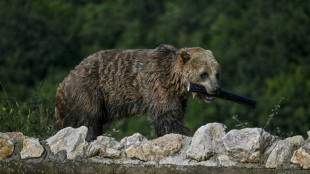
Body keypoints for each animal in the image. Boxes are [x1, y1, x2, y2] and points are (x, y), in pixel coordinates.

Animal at [55, 44, 220, 141]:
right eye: (204, 74)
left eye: (217, 73)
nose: (215, 89)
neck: (176, 81)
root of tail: (63, 84)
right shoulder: (158, 85)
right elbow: (167, 117)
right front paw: (188, 132)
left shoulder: (178, 98)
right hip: (88, 91)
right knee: (87, 121)